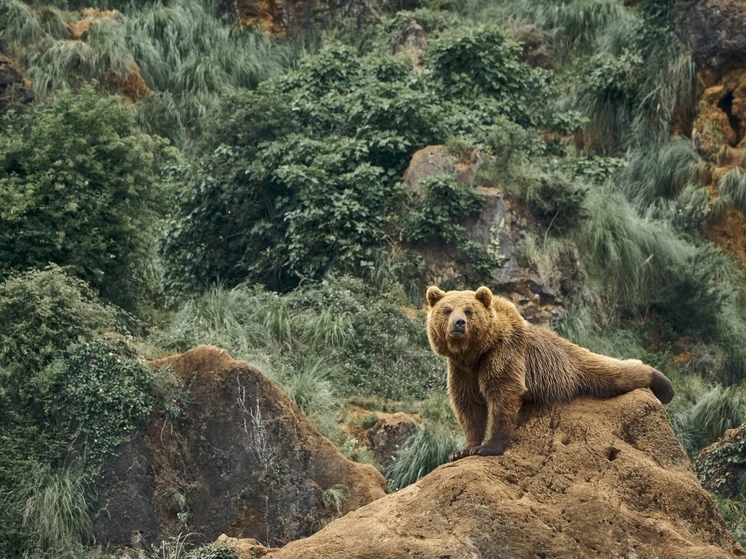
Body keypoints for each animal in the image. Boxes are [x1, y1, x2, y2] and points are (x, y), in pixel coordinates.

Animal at [424, 286, 676, 462]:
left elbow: (502, 395)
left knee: (613, 372)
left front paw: (488, 447)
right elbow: (469, 404)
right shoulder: (461, 370)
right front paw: (463, 449)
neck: (475, 352)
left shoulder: (504, 354)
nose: (459, 323)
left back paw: (664, 386)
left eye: (469, 311)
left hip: (573, 367)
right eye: (447, 310)